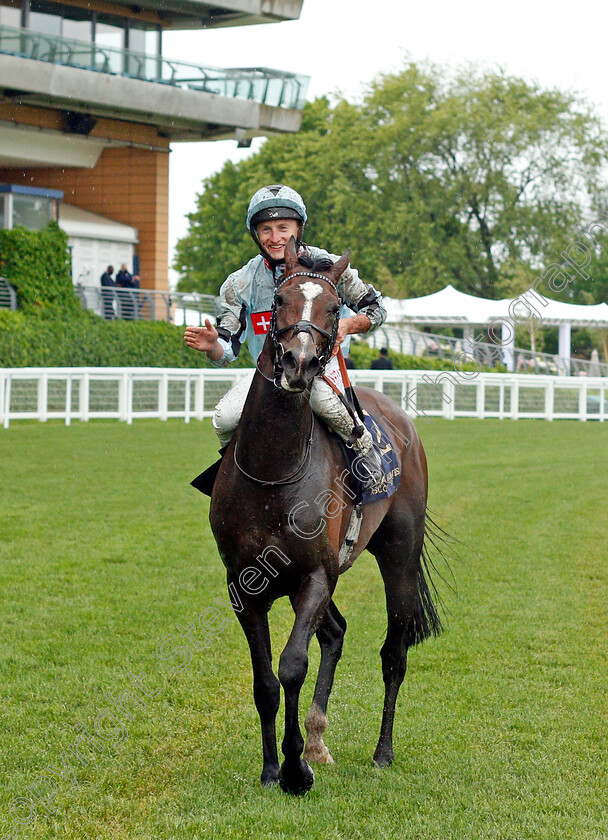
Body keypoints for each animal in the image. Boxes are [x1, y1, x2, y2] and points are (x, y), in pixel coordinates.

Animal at [209, 236, 442, 796]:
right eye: (280, 301)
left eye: (335, 308)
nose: (297, 363)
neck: (273, 472)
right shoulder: (244, 587)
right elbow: (265, 681)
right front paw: (274, 768)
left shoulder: (314, 575)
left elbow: (293, 664)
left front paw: (296, 770)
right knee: (335, 633)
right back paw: (316, 739)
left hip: (398, 554)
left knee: (394, 652)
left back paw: (381, 752)